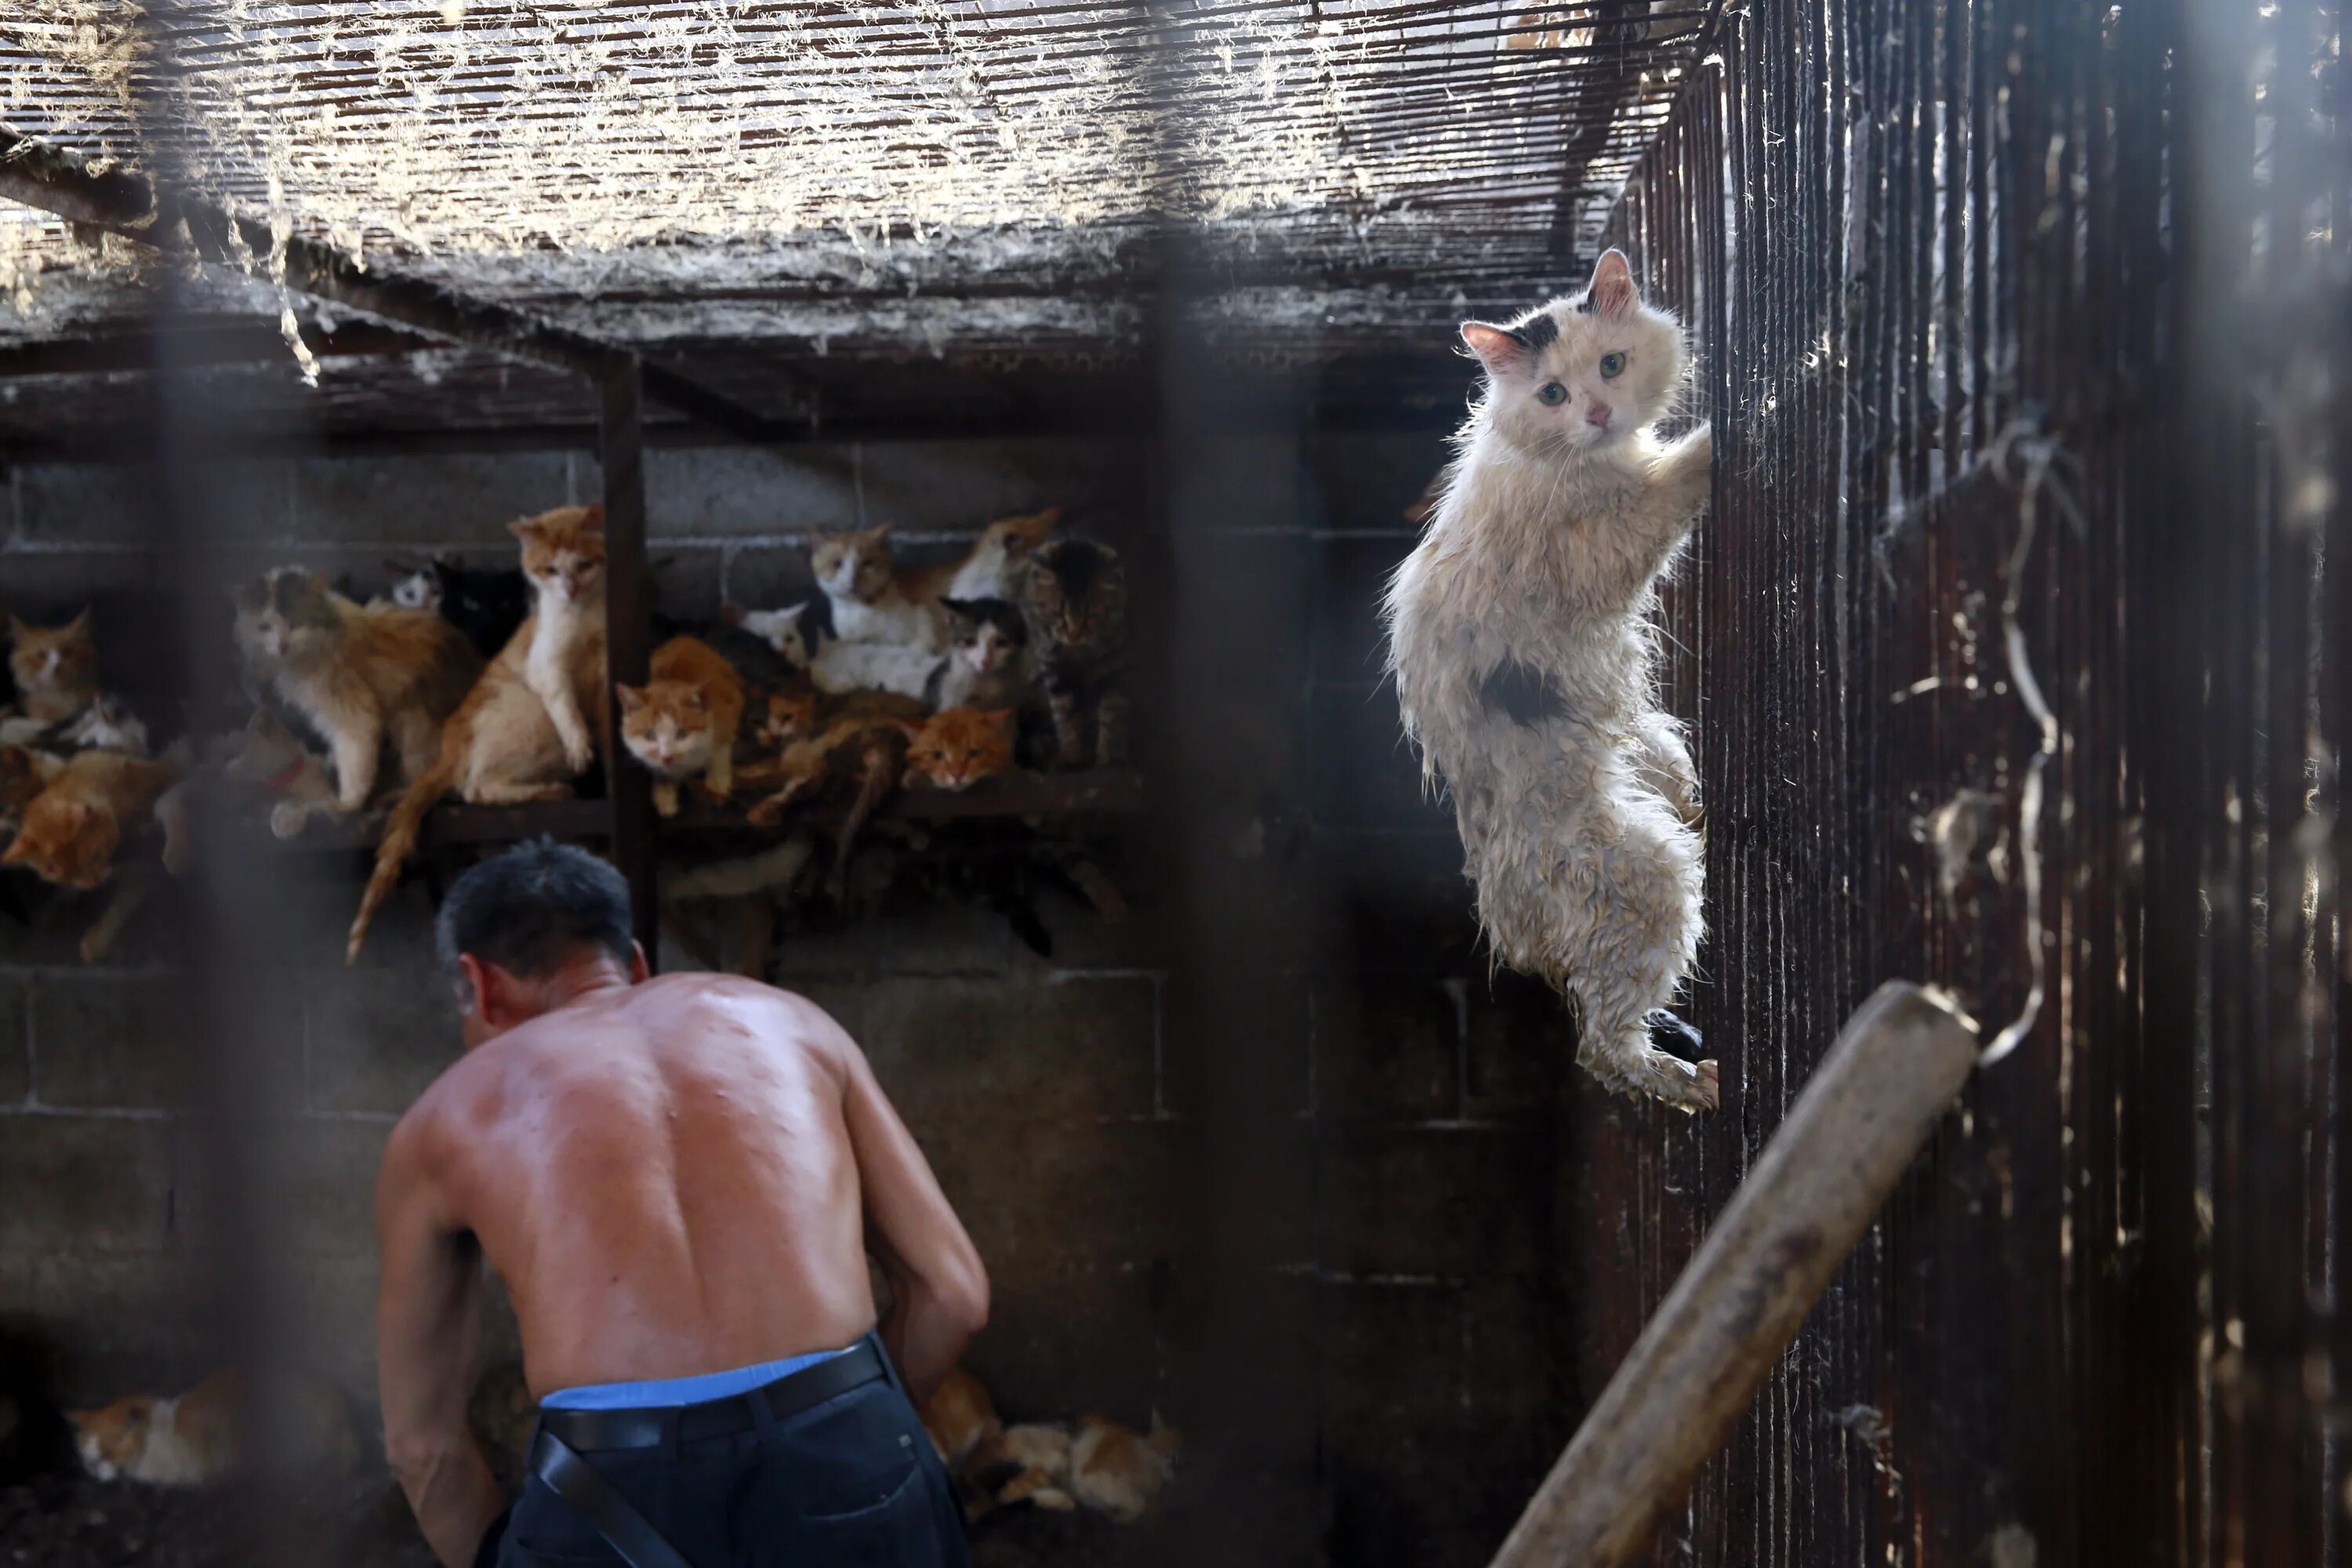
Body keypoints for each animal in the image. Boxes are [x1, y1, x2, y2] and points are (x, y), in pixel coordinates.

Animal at [231, 571, 485, 818]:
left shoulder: (346, 698)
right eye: (264, 627)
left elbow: (356, 746)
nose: (282, 646)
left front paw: (346, 804)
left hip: (416, 717)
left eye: (296, 624)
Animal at [348, 510, 612, 964]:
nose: (571, 589)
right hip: (530, 714)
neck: (588, 614)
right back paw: (555, 790)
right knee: (476, 787)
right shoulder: (548, 667)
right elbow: (569, 711)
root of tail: (447, 748)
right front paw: (584, 751)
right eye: (551, 570)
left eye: (583, 565)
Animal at [616, 630, 743, 818]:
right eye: (650, 735)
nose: (667, 757)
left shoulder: (725, 714)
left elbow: (721, 749)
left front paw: (717, 781)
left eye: (682, 733)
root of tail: (684, 637)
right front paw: (665, 795)